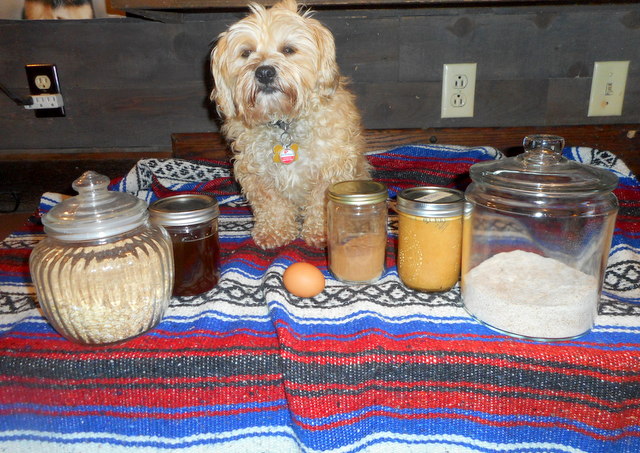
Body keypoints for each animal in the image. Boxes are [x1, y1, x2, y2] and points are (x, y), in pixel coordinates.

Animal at [211, 0, 370, 249]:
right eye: (246, 53)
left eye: (288, 50)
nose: (264, 72)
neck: (284, 122)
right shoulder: (257, 172)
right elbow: (272, 204)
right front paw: (274, 232)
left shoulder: (330, 168)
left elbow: (321, 203)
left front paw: (322, 232)